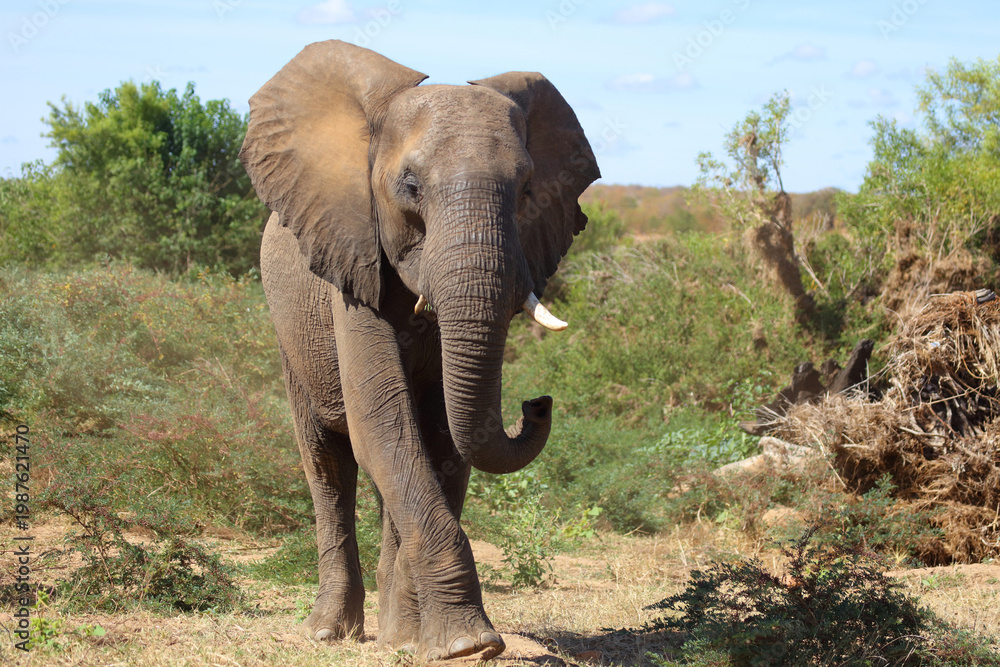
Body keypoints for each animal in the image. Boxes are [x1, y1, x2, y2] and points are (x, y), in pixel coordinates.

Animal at [239, 40, 599, 661]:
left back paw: (395, 635)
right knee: (328, 462)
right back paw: (328, 632)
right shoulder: (351, 259)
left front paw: (432, 643)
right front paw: (469, 645)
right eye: (409, 186)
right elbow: (382, 421)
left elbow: (440, 437)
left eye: (528, 189)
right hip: (289, 333)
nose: (537, 403)